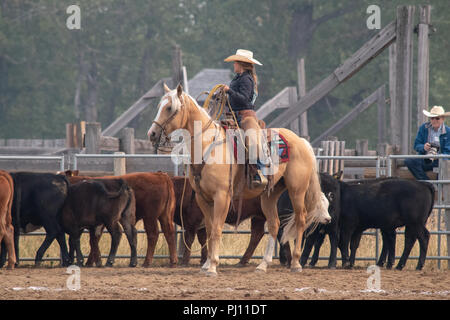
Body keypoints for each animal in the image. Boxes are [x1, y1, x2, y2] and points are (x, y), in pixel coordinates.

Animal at [148, 84, 330, 276]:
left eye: (169, 108)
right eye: (160, 106)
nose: (152, 133)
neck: (208, 147)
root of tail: (301, 141)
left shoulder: (222, 196)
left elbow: (217, 229)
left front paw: (212, 266)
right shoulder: (202, 198)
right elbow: (210, 229)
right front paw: (206, 265)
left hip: (297, 190)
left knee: (301, 219)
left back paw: (295, 263)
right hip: (269, 195)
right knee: (274, 224)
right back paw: (263, 265)